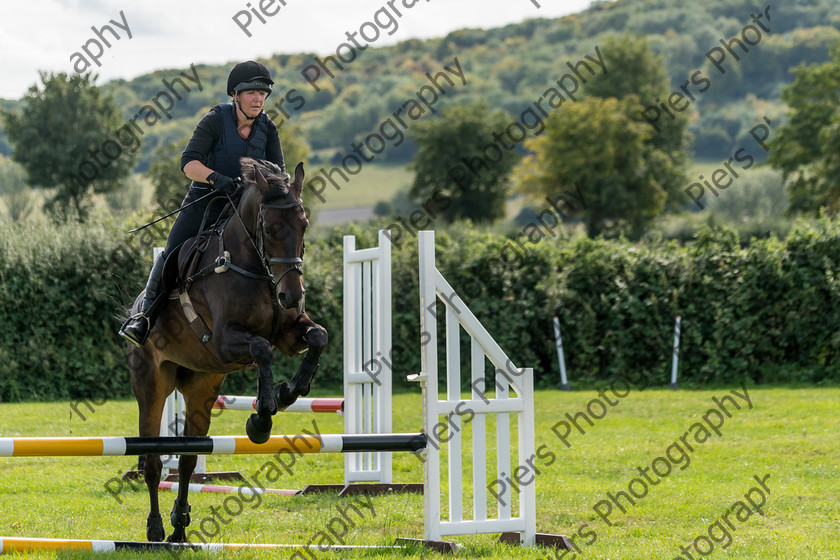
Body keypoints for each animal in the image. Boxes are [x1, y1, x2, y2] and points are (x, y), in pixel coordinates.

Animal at [128, 158, 328, 544]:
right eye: (269, 227)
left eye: (304, 225)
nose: (291, 296)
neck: (257, 270)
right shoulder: (224, 339)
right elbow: (262, 349)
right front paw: (261, 420)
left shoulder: (289, 334)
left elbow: (318, 337)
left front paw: (286, 393)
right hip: (151, 384)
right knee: (155, 458)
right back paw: (156, 527)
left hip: (201, 388)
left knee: (187, 459)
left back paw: (179, 526)